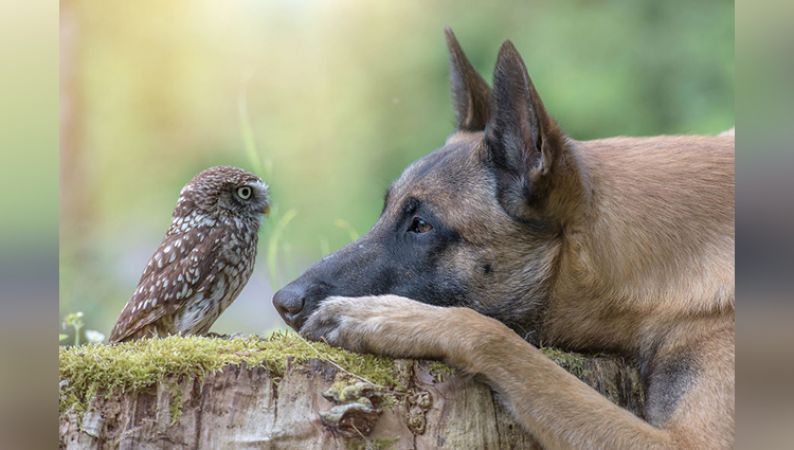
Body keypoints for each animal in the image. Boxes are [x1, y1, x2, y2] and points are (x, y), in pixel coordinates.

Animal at [274, 29, 736, 450]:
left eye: (421, 225)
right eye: (385, 210)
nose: (283, 302)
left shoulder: (685, 443)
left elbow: (498, 338)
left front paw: (384, 317)